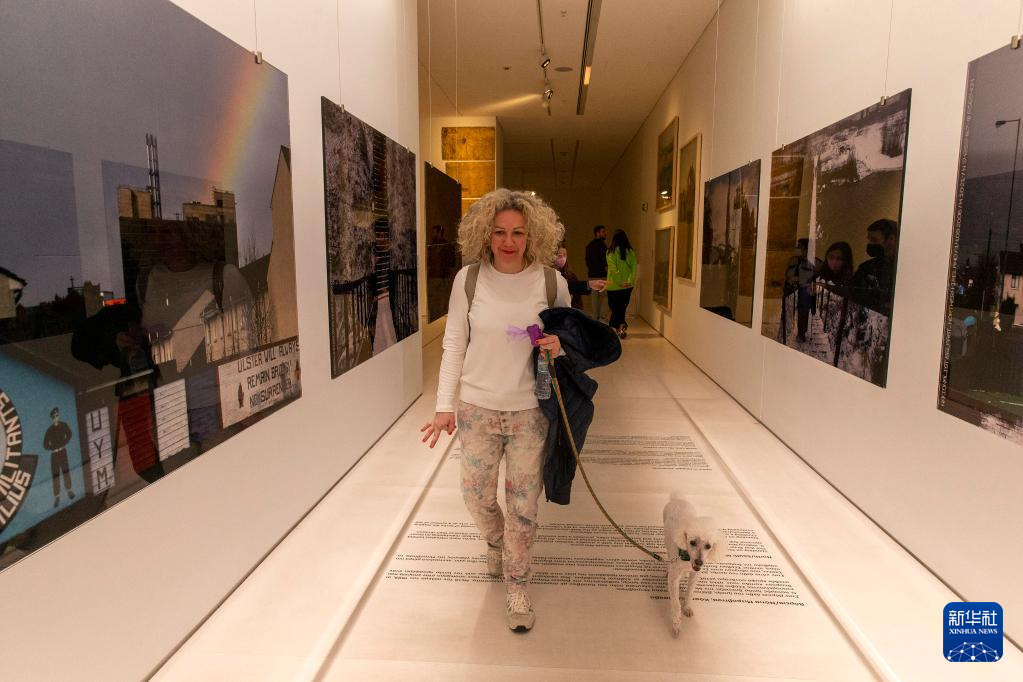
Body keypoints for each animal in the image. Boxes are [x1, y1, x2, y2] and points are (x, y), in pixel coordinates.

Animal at [663, 492, 722, 637]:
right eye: (692, 542)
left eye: (708, 546)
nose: (699, 562)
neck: (687, 559)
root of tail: (677, 498)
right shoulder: (673, 579)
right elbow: (676, 604)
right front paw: (676, 624)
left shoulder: (695, 575)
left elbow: (689, 592)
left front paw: (687, 607)